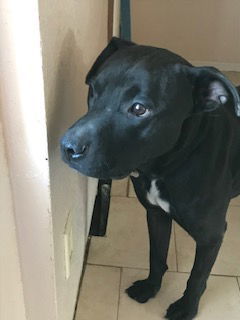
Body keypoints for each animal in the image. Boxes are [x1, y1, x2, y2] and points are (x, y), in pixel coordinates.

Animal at [60, 38, 240, 320]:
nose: (68, 147)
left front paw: (186, 307)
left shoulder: (211, 235)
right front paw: (150, 287)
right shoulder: (156, 214)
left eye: (139, 108)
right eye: (94, 90)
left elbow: (197, 276)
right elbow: (156, 255)